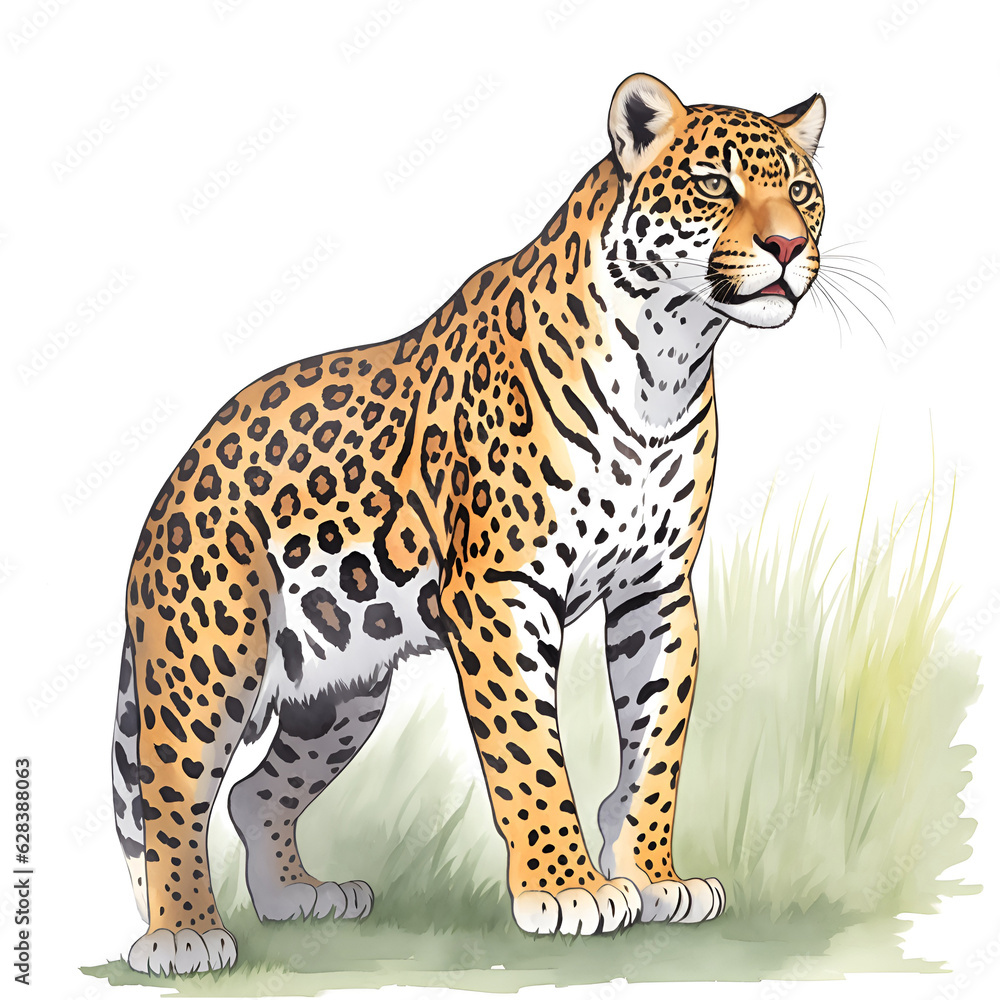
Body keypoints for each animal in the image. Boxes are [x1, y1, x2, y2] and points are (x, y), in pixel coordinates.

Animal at [112, 72, 826, 974]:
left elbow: (656, 742)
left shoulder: (658, 593)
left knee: (251, 793)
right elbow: (529, 750)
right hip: (207, 655)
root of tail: (175, 478)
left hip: (339, 691)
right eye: (712, 184)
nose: (788, 247)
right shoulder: (499, 591)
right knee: (170, 793)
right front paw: (567, 890)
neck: (667, 359)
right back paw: (182, 934)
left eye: (803, 192)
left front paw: (654, 878)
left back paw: (297, 898)